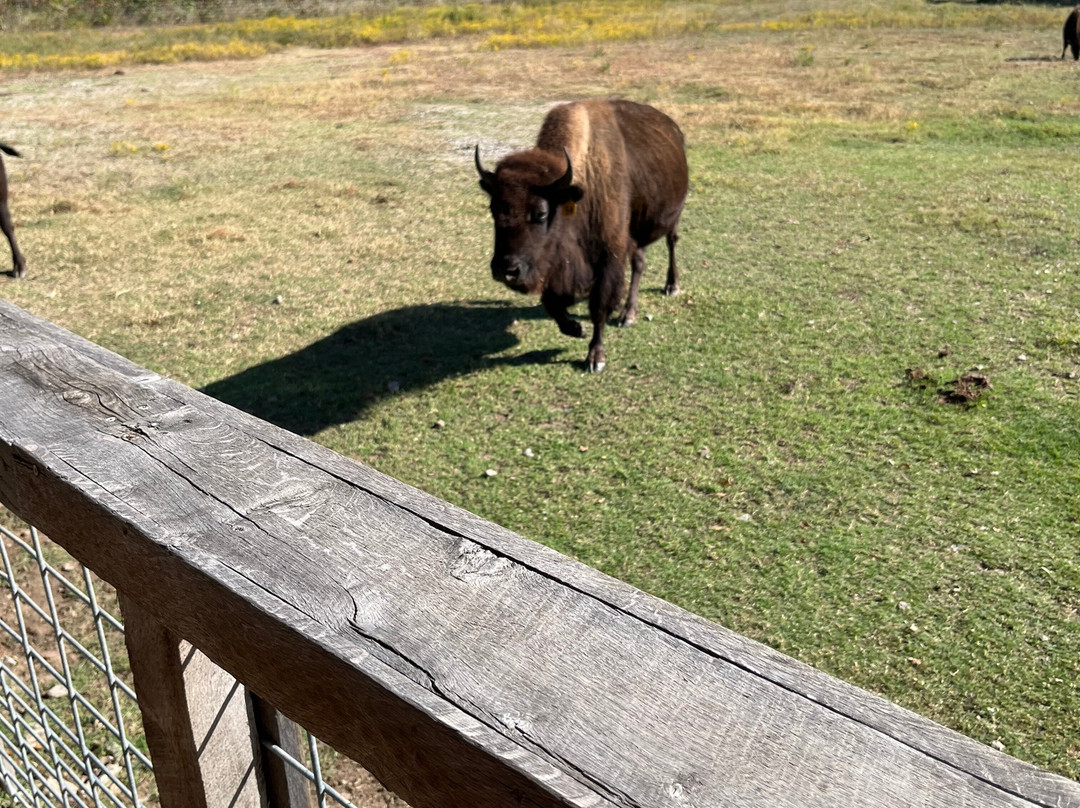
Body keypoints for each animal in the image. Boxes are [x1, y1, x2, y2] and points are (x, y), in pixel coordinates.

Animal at [477, 97, 686, 371]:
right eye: (493, 209)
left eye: (541, 213)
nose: (507, 270)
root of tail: (674, 129)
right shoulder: (557, 263)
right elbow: (552, 302)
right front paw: (576, 328)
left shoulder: (609, 257)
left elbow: (598, 306)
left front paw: (595, 358)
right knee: (639, 263)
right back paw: (628, 314)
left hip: (673, 217)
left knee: (672, 243)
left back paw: (671, 286)